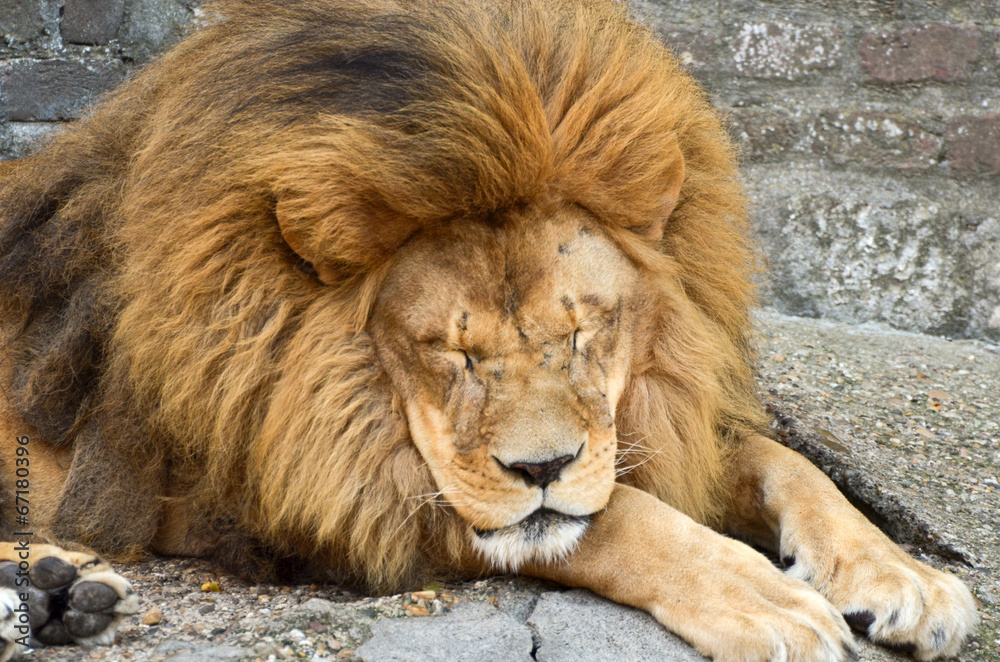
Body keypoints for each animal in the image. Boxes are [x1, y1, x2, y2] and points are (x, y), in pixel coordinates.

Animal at [0, 1, 976, 662]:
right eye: (452, 353)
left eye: (583, 335)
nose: (540, 467)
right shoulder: (316, 489)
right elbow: (611, 519)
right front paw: (765, 600)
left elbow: (788, 465)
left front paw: (904, 577)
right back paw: (56, 590)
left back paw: (65, 594)